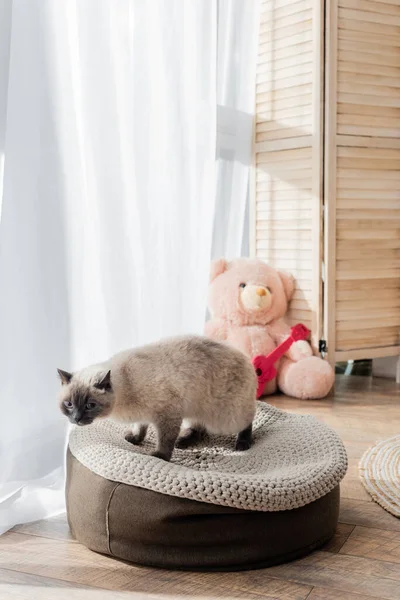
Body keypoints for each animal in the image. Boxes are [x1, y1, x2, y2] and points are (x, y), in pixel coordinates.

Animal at [58, 336, 258, 462]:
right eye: (69, 404)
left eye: (90, 405)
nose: (76, 419)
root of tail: (246, 358)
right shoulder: (143, 415)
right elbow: (140, 428)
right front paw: (134, 438)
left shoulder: (167, 415)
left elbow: (165, 440)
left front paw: (160, 456)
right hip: (194, 409)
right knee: (199, 428)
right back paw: (183, 441)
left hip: (225, 417)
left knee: (247, 421)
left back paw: (242, 444)